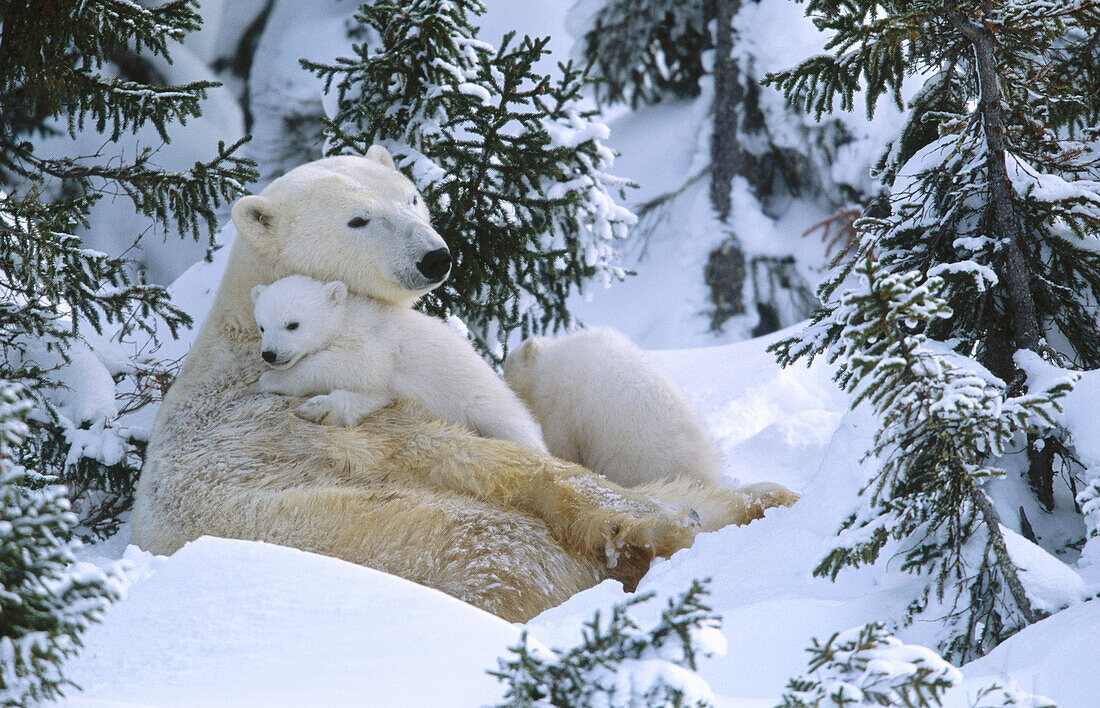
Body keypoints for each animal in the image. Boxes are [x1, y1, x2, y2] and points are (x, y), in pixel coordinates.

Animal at [247, 273, 543, 450]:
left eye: (292, 325)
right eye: (262, 326)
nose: (269, 354)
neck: (348, 315)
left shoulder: (375, 342)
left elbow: (355, 363)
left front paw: (272, 379)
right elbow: (374, 392)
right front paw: (322, 408)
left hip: (484, 401)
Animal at [503, 325, 721, 485]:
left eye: (506, 369)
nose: (502, 381)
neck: (547, 362)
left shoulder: (561, 402)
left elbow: (562, 443)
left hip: (635, 460)